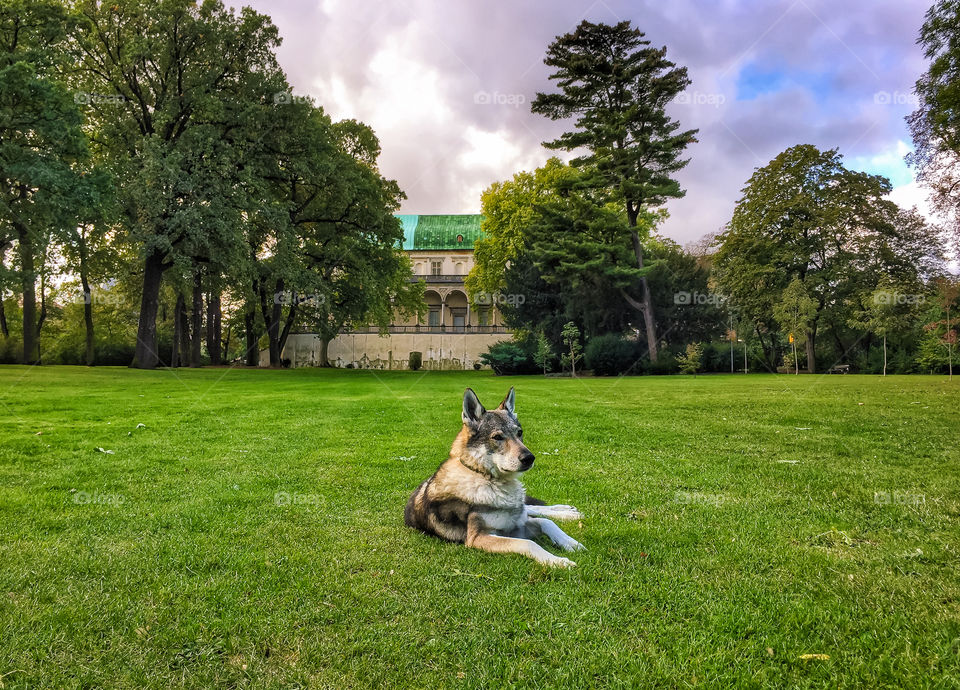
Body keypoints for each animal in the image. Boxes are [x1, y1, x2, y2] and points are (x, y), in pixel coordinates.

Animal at [404, 387, 585, 568]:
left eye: (519, 433)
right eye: (497, 437)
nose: (530, 458)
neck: (485, 477)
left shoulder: (517, 524)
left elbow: (546, 522)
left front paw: (570, 542)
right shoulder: (479, 537)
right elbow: (528, 543)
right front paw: (556, 561)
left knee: (533, 508)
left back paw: (569, 512)